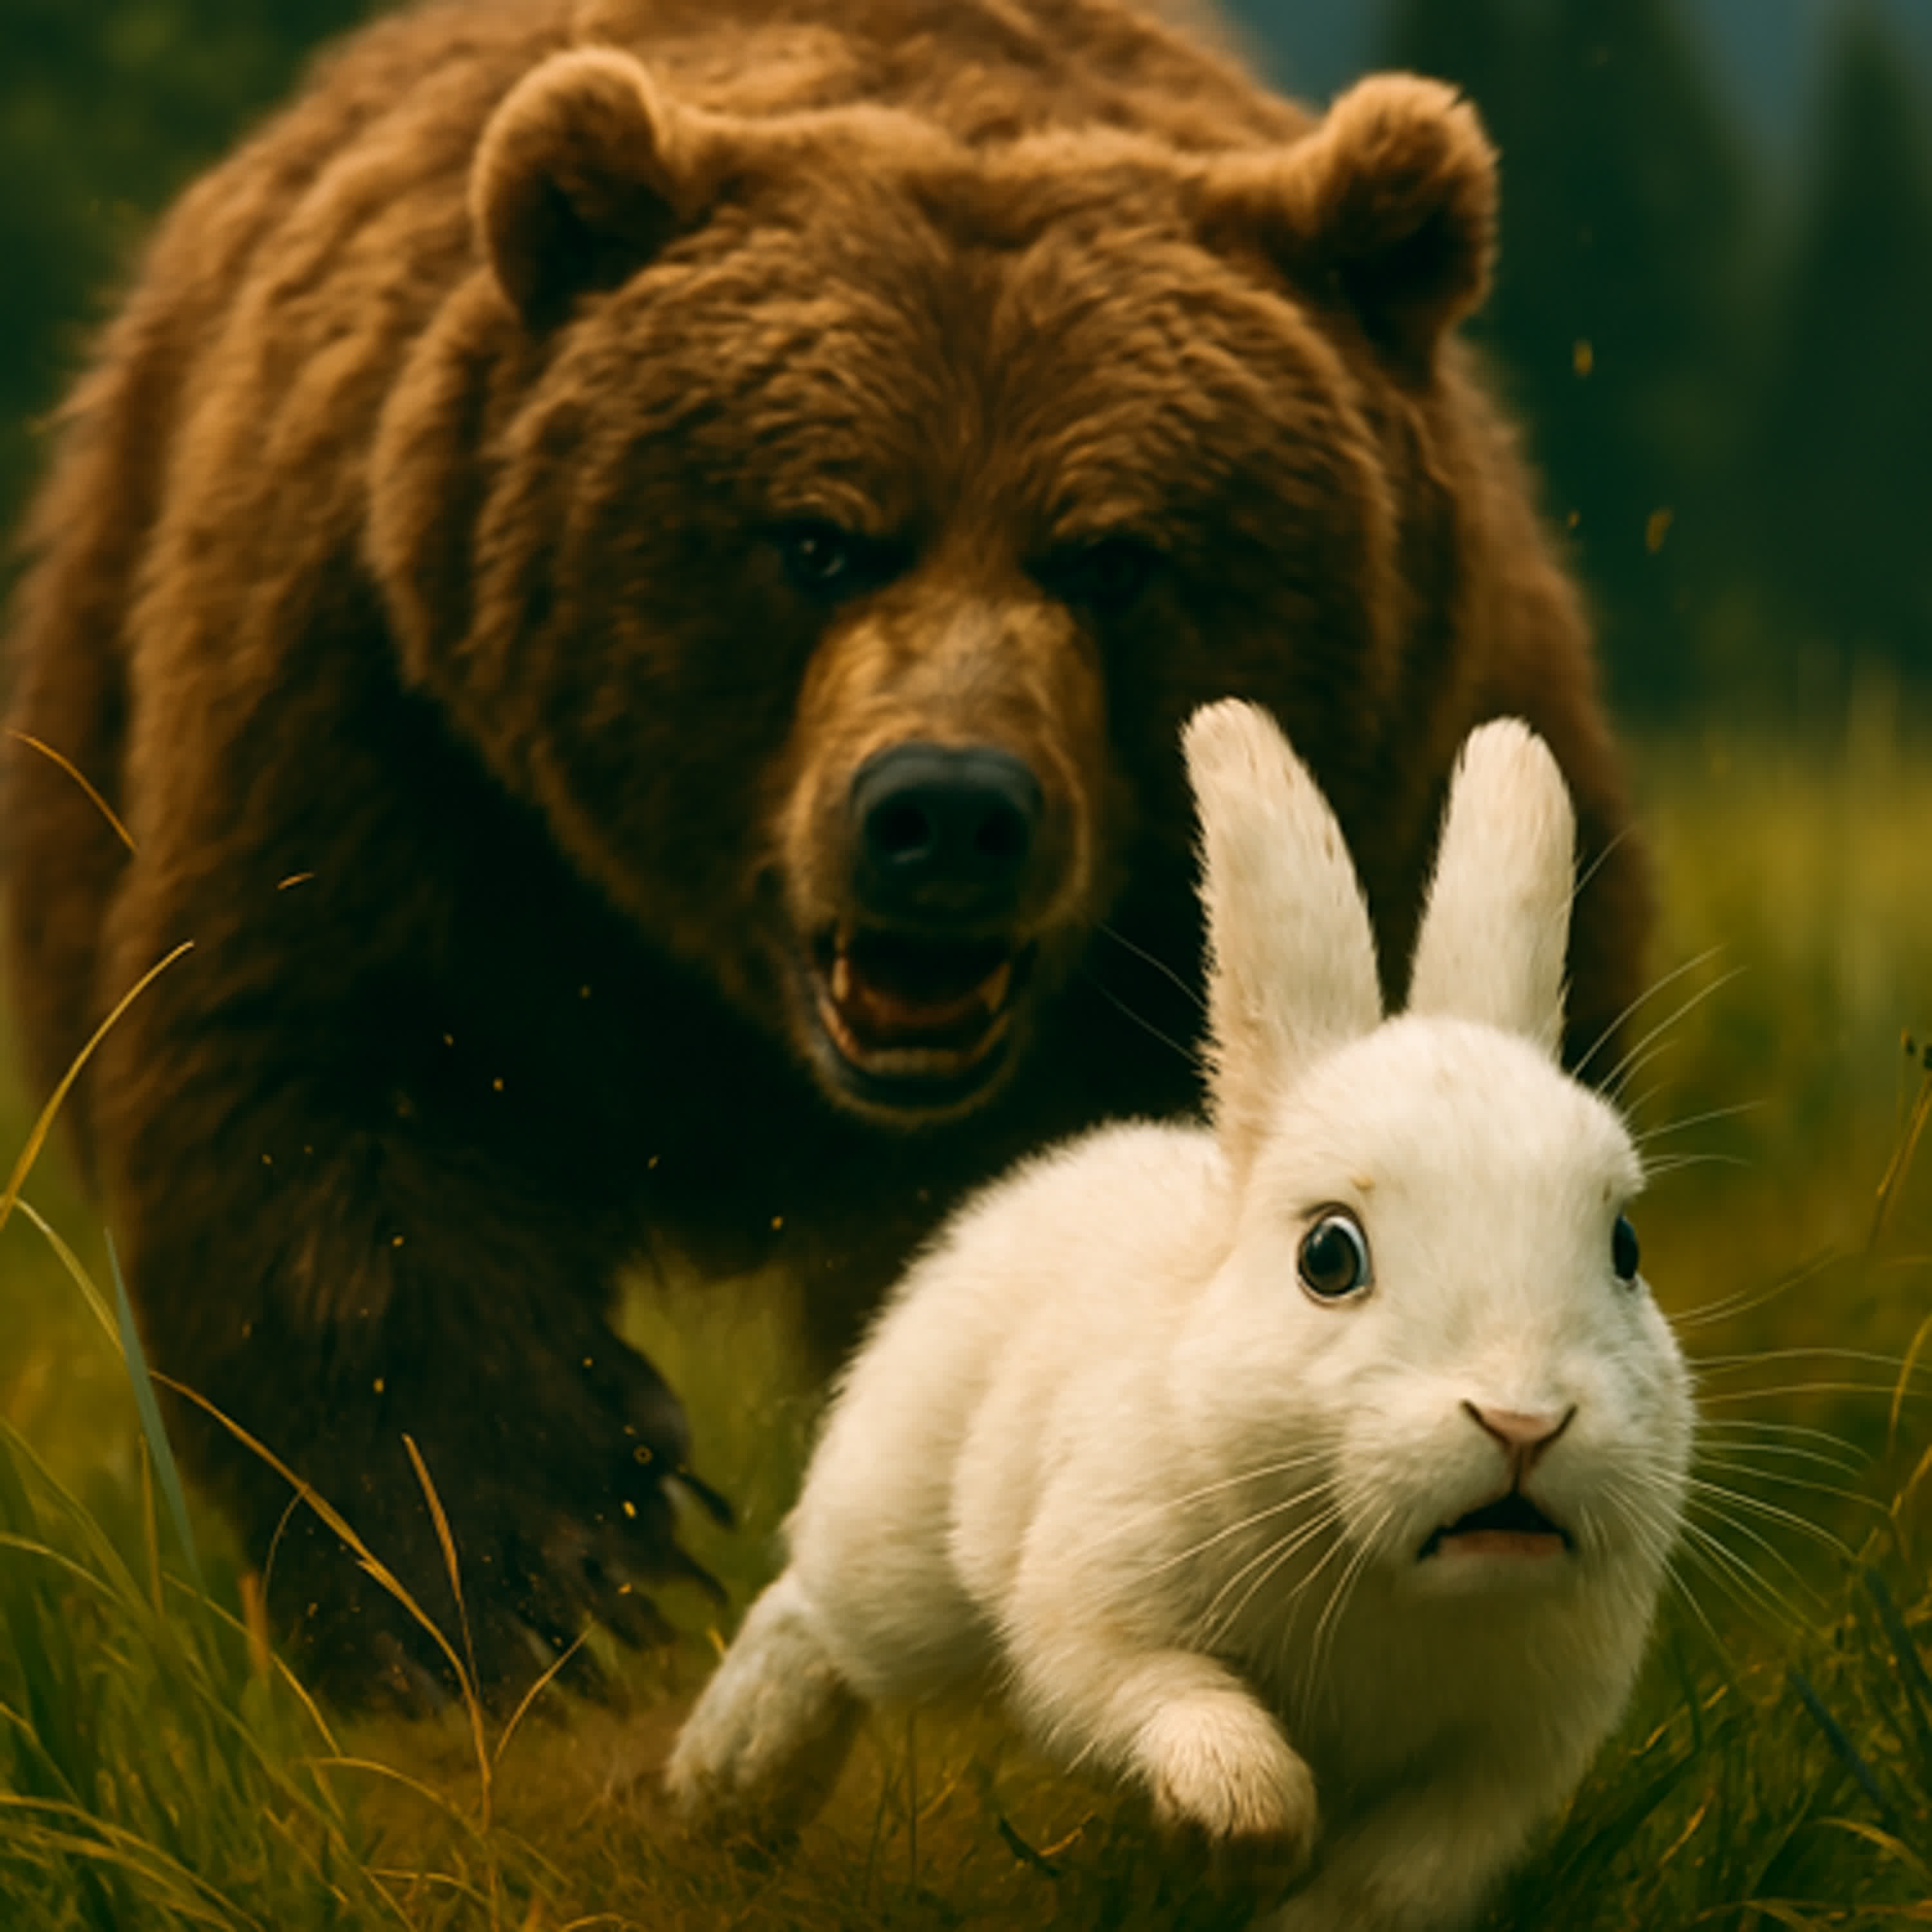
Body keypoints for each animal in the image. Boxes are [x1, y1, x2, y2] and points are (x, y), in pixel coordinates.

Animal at [2, 0, 1650, 1706]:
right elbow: (335, 1111)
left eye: (1111, 557)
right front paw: (538, 1582)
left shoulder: (1400, 784)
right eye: (816, 539)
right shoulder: (391, 733)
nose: (947, 809)